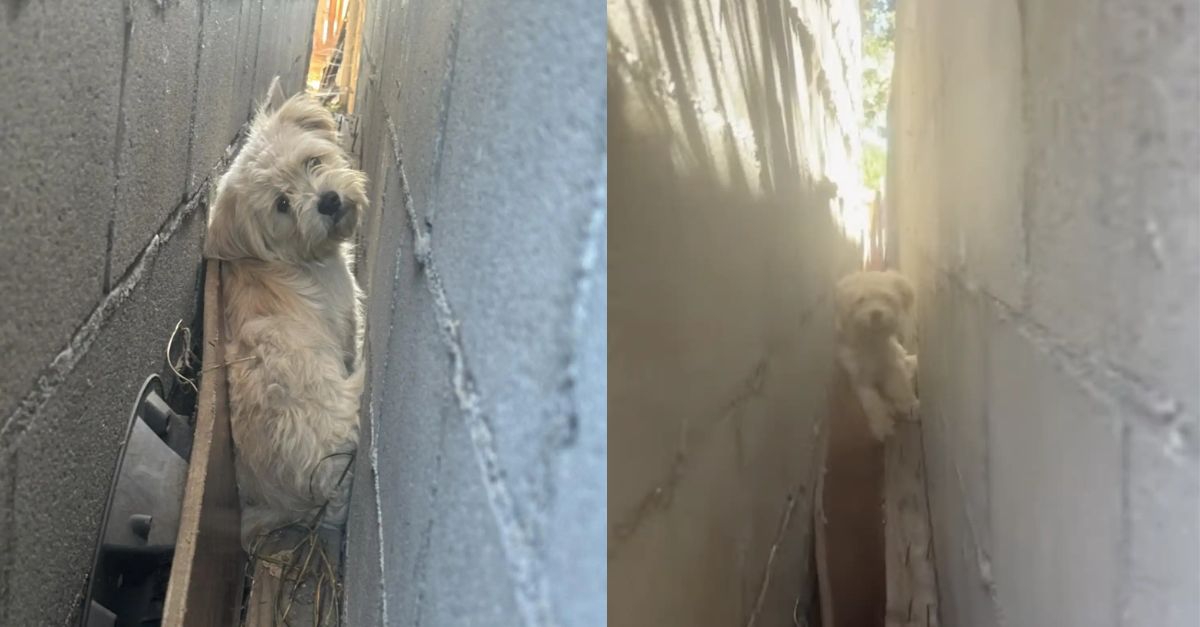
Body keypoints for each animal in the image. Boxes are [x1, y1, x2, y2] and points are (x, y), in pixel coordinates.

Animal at [835, 267, 916, 439]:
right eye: (861, 300)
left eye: (887, 297)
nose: (876, 313)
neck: (872, 341)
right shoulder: (861, 380)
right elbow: (873, 404)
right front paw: (882, 424)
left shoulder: (892, 365)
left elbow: (900, 386)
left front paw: (909, 404)